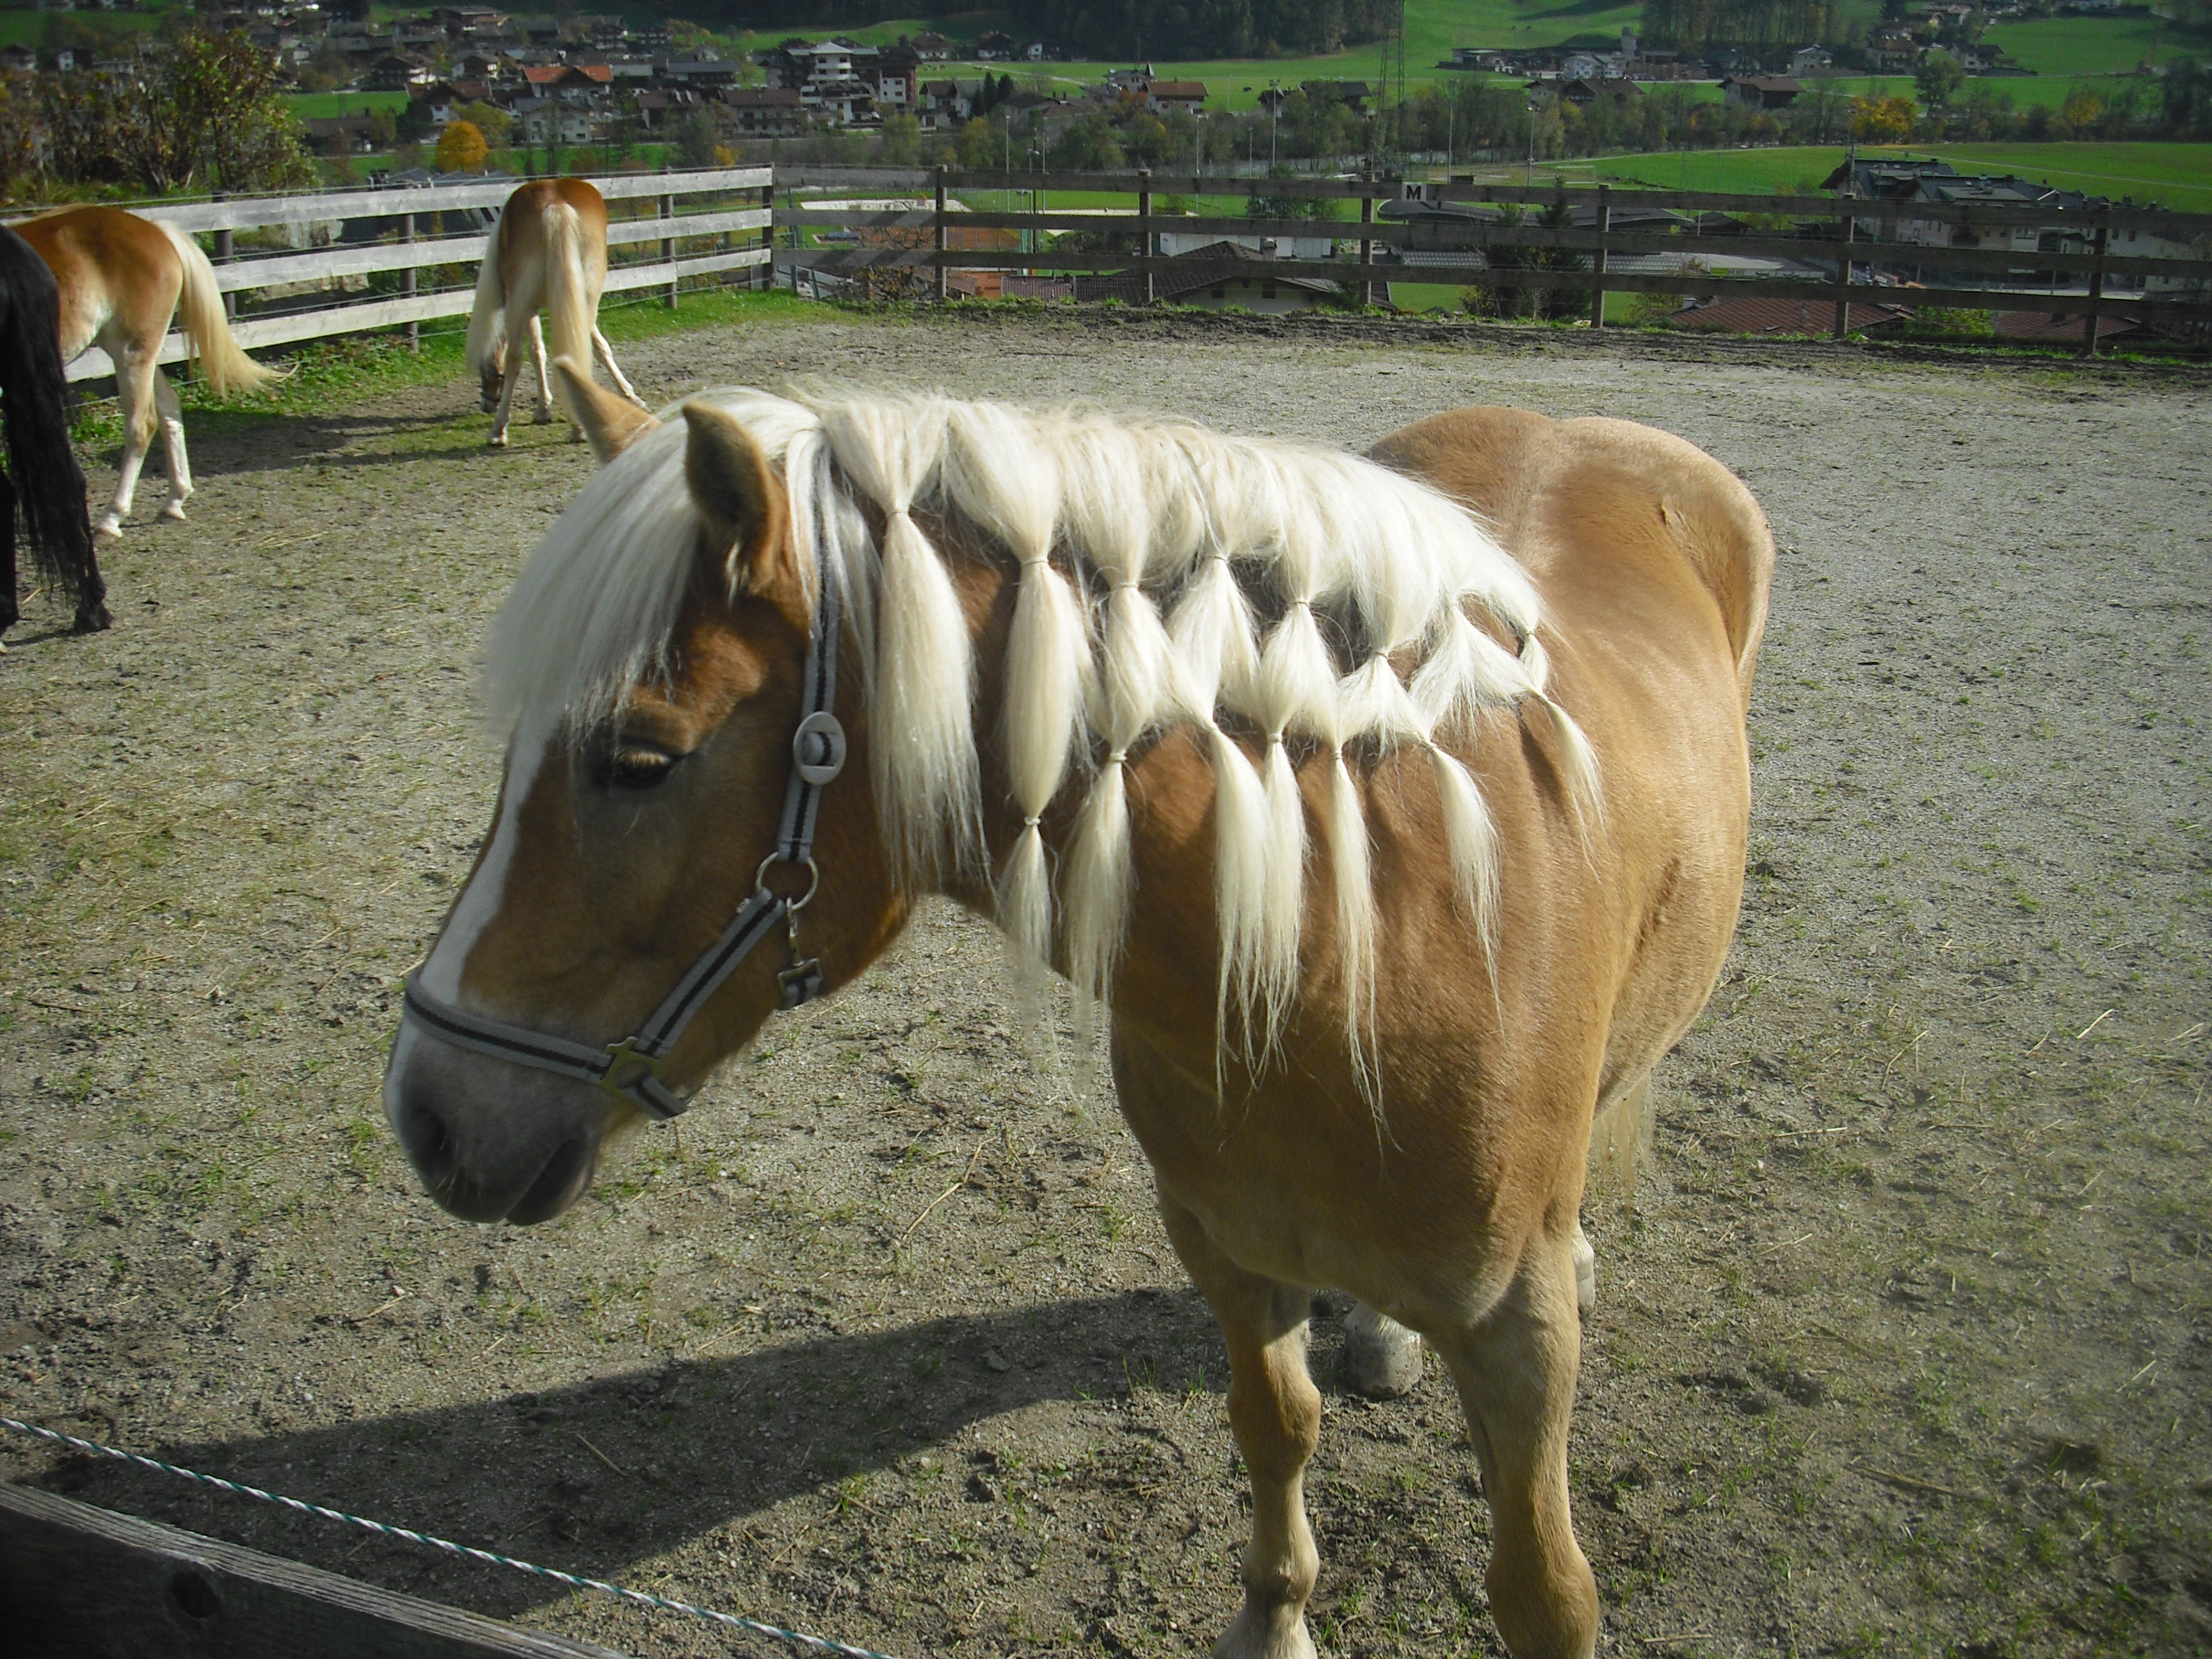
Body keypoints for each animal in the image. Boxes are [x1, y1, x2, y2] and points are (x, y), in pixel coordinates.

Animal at [17, 200, 272, 540]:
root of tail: (156, 230)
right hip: (139, 354)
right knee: (169, 409)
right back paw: (175, 501)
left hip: (131, 354)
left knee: (142, 426)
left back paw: (112, 519)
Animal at [394, 376, 1778, 1659]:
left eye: (639, 760)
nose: (426, 1114)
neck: (1361, 940)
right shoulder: (1224, 1244)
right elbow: (1274, 1429)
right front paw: (1273, 1620)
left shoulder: (1515, 1337)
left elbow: (1544, 1590)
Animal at [462, 179, 641, 444]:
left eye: (486, 370)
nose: (486, 405)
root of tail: (556, 203)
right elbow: (598, 346)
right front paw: (630, 395)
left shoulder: (530, 308)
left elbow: (536, 352)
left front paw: (542, 409)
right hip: (585, 298)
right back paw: (579, 427)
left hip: (520, 303)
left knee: (515, 358)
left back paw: (499, 430)